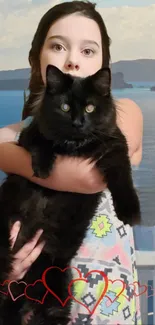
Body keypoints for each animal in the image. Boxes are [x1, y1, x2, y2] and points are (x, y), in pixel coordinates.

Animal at [0, 64, 141, 322]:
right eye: (65, 107)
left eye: (90, 108)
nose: (78, 122)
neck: (73, 147)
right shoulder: (29, 137)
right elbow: (42, 140)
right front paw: (43, 168)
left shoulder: (114, 147)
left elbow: (124, 179)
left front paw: (129, 211)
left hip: (55, 302)